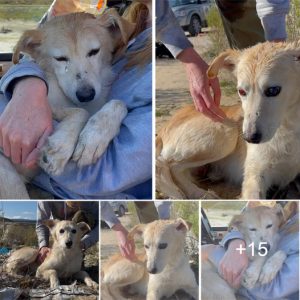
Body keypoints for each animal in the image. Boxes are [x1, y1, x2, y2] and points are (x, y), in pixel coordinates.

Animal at [156, 40, 300, 199]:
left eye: (273, 90)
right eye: (241, 91)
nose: (249, 138)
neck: (289, 127)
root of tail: (163, 128)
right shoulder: (254, 174)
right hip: (228, 133)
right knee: (168, 166)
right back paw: (198, 193)